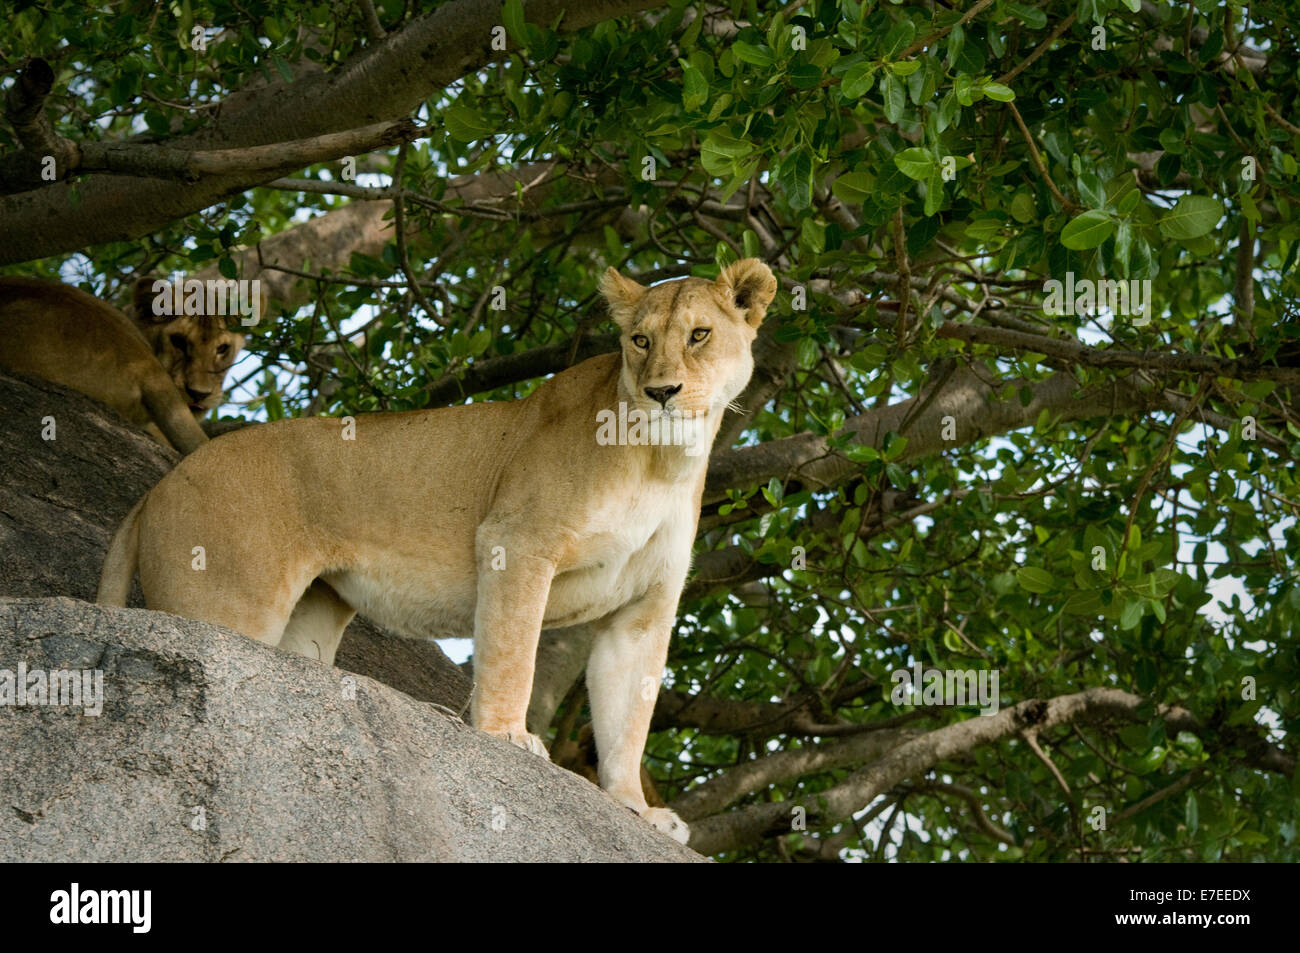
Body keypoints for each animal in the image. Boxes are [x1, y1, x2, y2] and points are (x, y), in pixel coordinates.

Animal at [101, 258, 774, 842]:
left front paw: (635, 808)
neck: (663, 461)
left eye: (700, 335)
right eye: (639, 340)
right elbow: (512, 652)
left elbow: (628, 718)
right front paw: (508, 738)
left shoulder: (643, 609)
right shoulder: (517, 541)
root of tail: (159, 486)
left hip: (310, 616)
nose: (662, 391)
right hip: (226, 604)